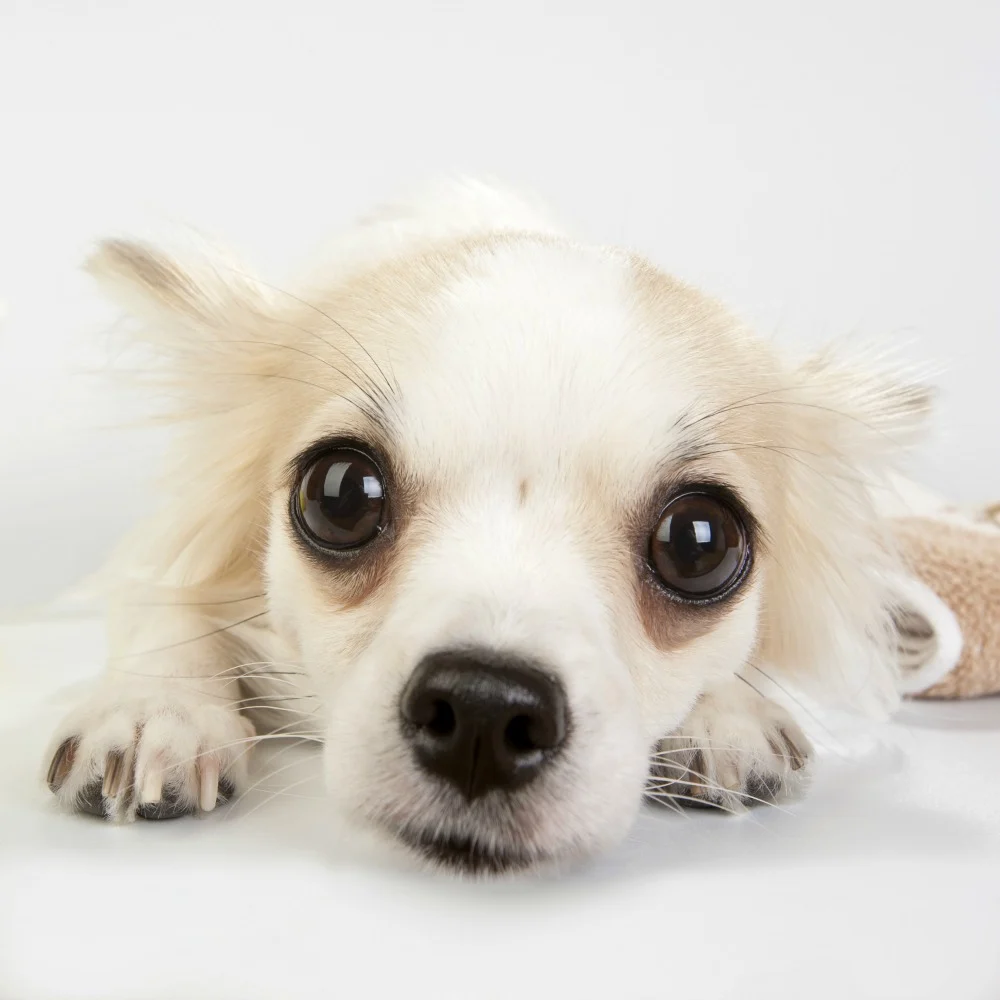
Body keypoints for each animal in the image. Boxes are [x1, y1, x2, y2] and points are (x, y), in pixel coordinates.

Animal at [41, 180, 928, 876]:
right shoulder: (168, 536)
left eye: (699, 543)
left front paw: (728, 712)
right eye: (341, 495)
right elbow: (166, 598)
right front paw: (155, 708)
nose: (483, 710)